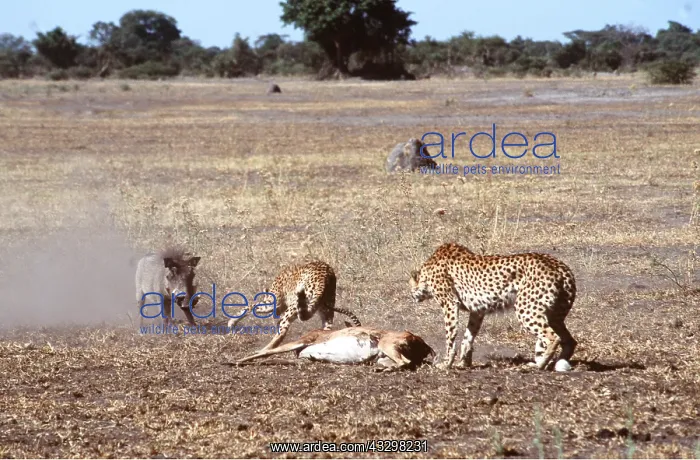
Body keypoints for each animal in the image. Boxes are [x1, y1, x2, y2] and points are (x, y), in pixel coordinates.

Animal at [229, 260, 362, 352]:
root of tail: (326, 274)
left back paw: (264, 350)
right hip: (324, 310)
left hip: (290, 305)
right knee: (326, 329)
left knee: (282, 330)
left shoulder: (274, 304)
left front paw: (231, 323)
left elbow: (251, 306)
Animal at [409, 242, 577, 372]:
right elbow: (468, 337)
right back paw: (556, 362)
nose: (412, 297)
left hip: (526, 309)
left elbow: (450, 338)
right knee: (569, 340)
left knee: (552, 337)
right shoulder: (477, 311)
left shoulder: (450, 304)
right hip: (554, 316)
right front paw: (464, 363)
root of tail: (561, 266)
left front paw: (446, 364)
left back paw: (538, 366)